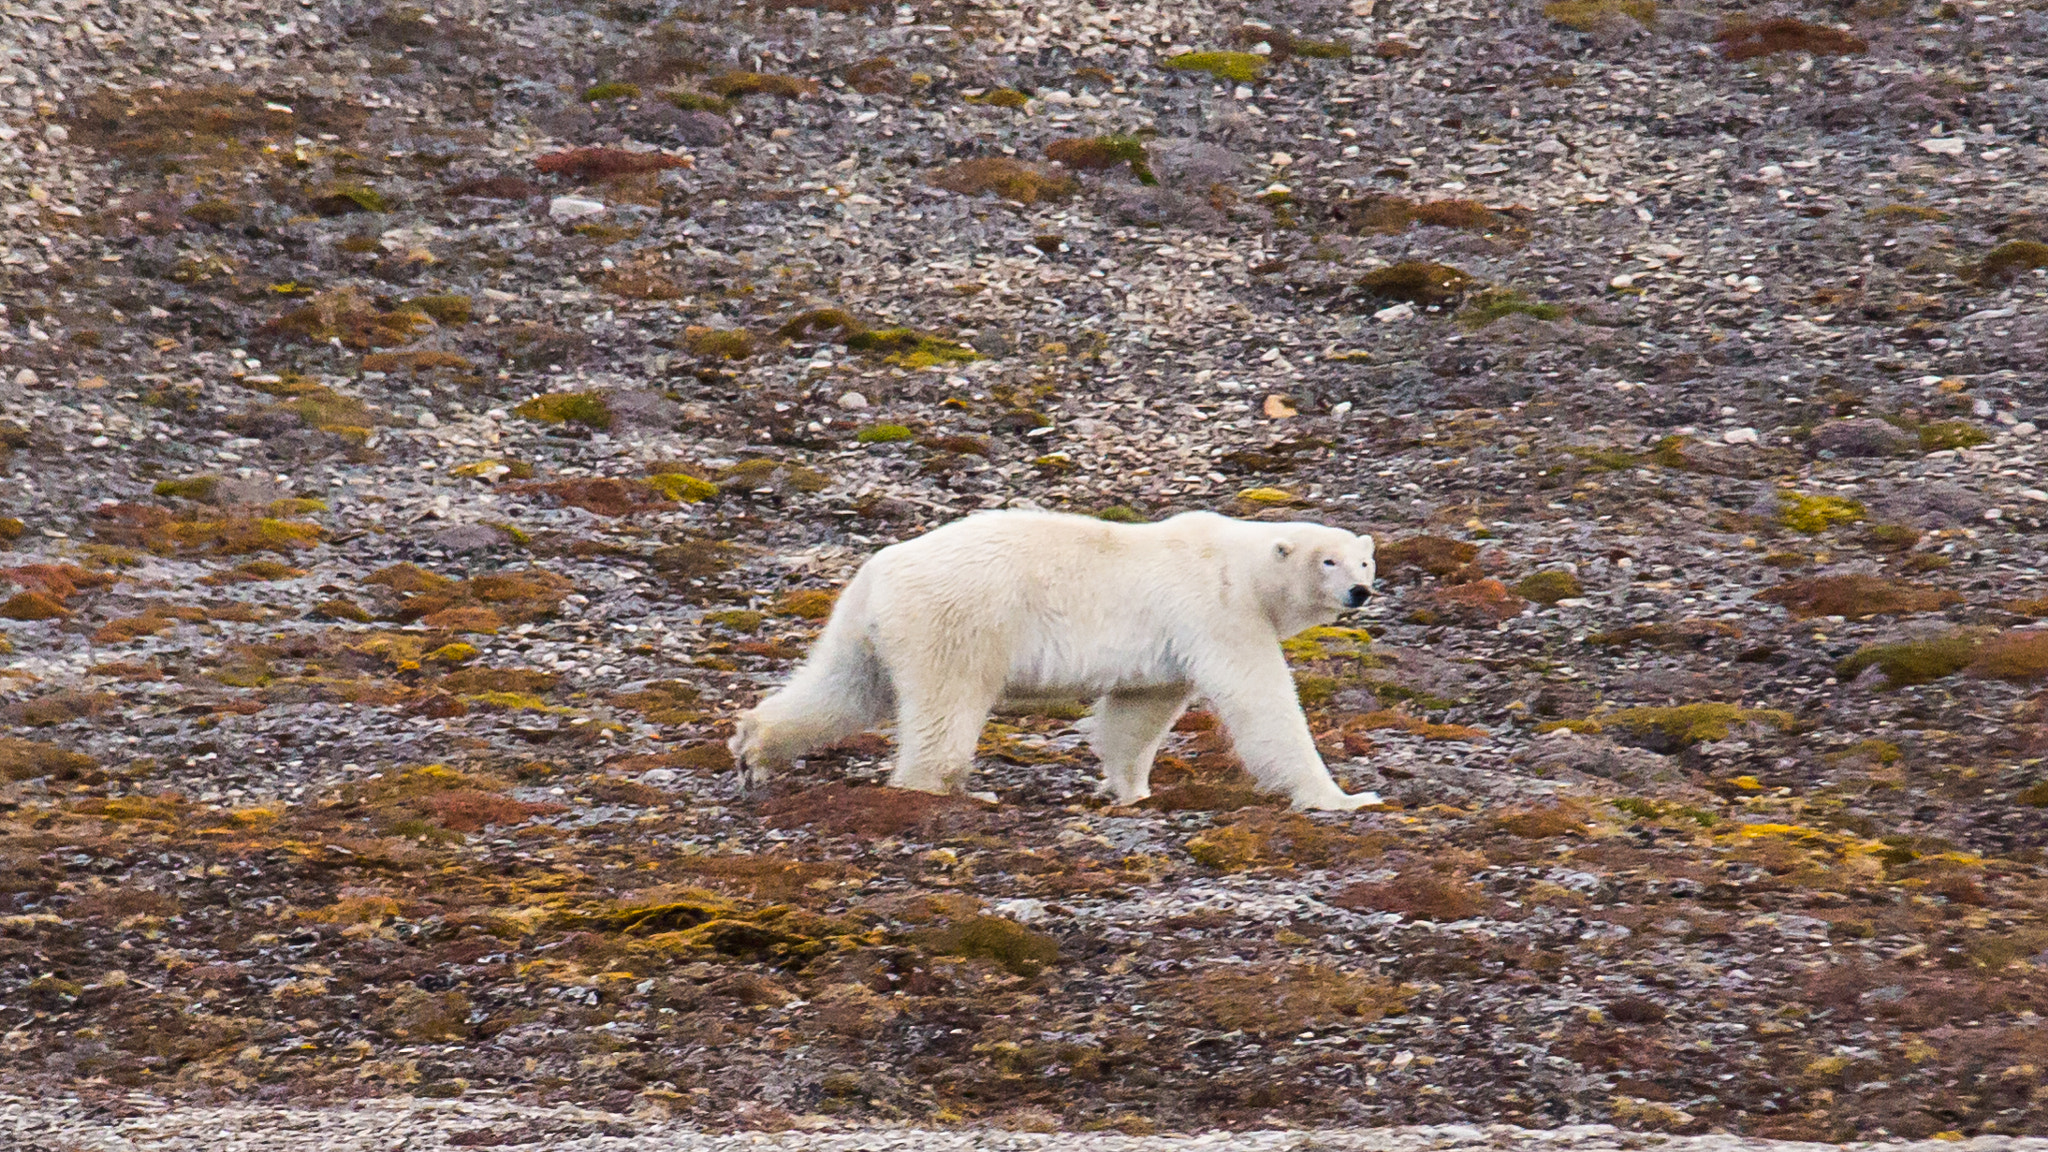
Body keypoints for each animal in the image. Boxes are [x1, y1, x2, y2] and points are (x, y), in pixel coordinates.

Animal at [729, 506, 1384, 811]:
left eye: (1364, 560)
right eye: (1328, 561)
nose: (1360, 591)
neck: (1239, 564)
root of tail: (879, 571)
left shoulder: (1168, 648)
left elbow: (1137, 713)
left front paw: (1132, 790)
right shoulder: (1216, 612)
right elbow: (1262, 703)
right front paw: (1342, 797)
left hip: (866, 628)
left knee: (845, 686)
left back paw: (755, 747)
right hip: (958, 620)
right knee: (946, 703)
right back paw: (949, 791)